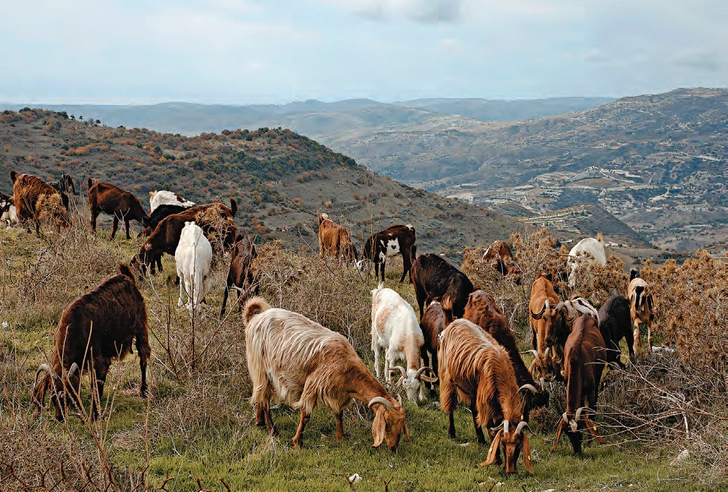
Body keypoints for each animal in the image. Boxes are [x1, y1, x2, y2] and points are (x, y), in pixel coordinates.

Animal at [32, 264, 149, 420]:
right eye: (52, 396)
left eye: (67, 397)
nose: (60, 418)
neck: (75, 326)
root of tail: (127, 276)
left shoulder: (99, 360)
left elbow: (96, 385)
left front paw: (94, 415)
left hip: (141, 329)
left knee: (143, 359)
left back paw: (143, 391)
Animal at [246, 296, 410, 450]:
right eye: (387, 422)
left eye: (402, 421)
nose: (394, 447)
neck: (346, 364)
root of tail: (255, 319)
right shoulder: (313, 386)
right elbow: (306, 415)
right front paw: (298, 442)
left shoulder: (338, 392)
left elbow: (339, 414)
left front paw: (341, 436)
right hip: (261, 368)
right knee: (264, 398)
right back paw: (272, 430)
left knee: (261, 396)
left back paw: (259, 423)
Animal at [438, 318, 536, 474]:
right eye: (503, 444)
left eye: (519, 446)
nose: (510, 471)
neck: (500, 369)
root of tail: (454, 323)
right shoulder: (486, 402)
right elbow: (490, 427)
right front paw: (497, 460)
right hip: (447, 377)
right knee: (450, 406)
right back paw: (451, 433)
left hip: (473, 389)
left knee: (473, 410)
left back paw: (480, 439)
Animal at [552, 316, 608, 454]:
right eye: (567, 433)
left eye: (580, 428)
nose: (577, 450)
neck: (577, 362)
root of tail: (585, 316)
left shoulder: (591, 391)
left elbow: (591, 413)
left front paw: (589, 442)